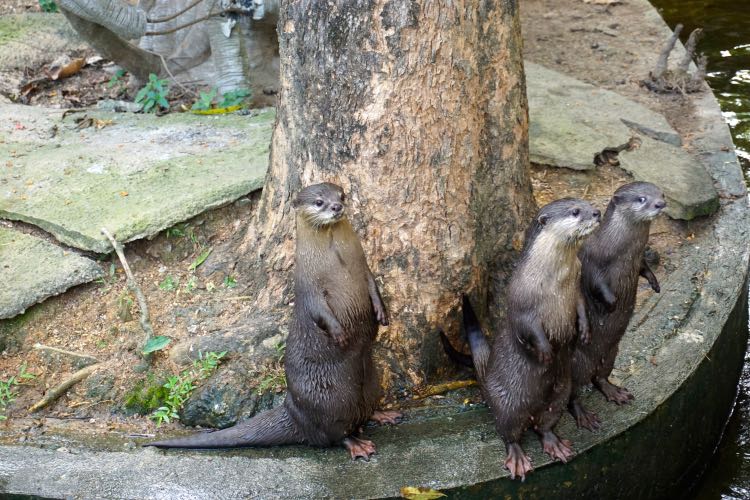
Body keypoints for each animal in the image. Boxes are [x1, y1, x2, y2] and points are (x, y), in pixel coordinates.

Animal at [147, 182, 401, 459]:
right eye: (319, 202)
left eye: (341, 195)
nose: (336, 206)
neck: (339, 263)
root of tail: (293, 411)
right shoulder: (308, 287)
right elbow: (319, 311)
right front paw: (339, 333)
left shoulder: (364, 268)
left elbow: (373, 286)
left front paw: (382, 313)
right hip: (332, 402)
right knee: (333, 434)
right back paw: (357, 444)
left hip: (372, 383)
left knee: (364, 411)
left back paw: (384, 414)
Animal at [446, 198, 600, 480]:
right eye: (575, 211)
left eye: (586, 204)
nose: (597, 212)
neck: (555, 281)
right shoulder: (522, 301)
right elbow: (530, 328)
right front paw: (546, 352)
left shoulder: (577, 288)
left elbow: (582, 307)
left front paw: (584, 331)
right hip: (508, 403)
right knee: (509, 433)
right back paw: (518, 458)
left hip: (559, 394)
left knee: (544, 425)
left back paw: (556, 444)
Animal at [568, 182, 666, 431]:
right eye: (641, 198)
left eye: (661, 193)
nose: (660, 203)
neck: (623, 251)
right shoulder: (591, 262)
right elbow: (597, 285)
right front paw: (611, 305)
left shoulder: (638, 259)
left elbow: (644, 268)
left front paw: (654, 283)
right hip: (575, 366)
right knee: (570, 397)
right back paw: (584, 416)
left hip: (611, 353)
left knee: (599, 377)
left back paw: (615, 392)